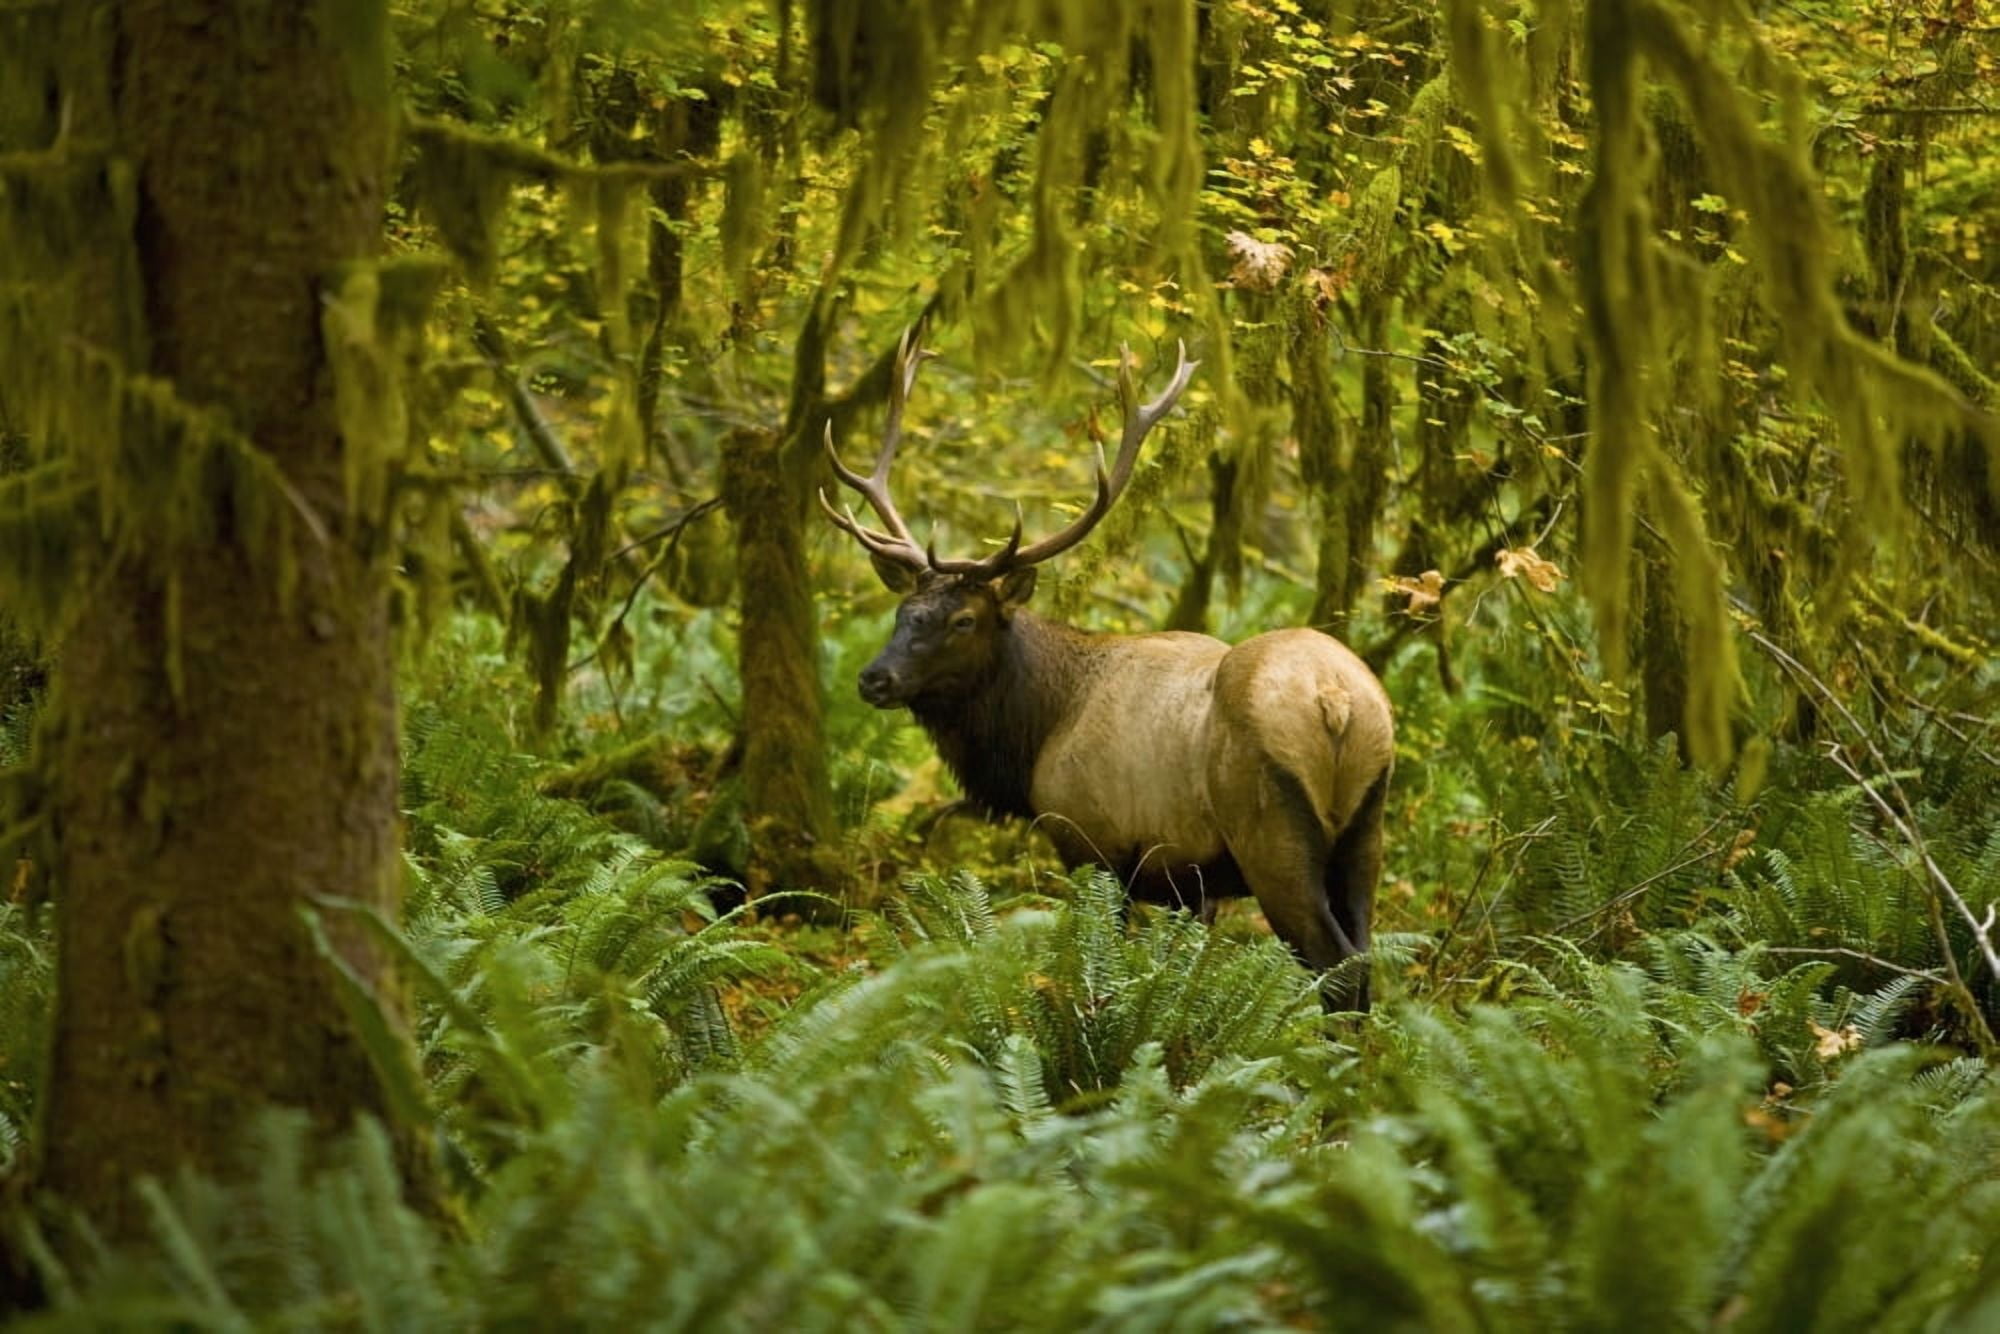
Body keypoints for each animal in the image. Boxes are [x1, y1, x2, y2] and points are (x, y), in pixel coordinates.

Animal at [820, 332, 1394, 1011]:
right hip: (1366, 826)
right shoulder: (1188, 883)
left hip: (1272, 829)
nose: (873, 678)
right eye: (904, 611)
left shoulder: (1093, 843)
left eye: (963, 619)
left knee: (1336, 966)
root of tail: (1336, 701)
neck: (1037, 735)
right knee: (1364, 961)